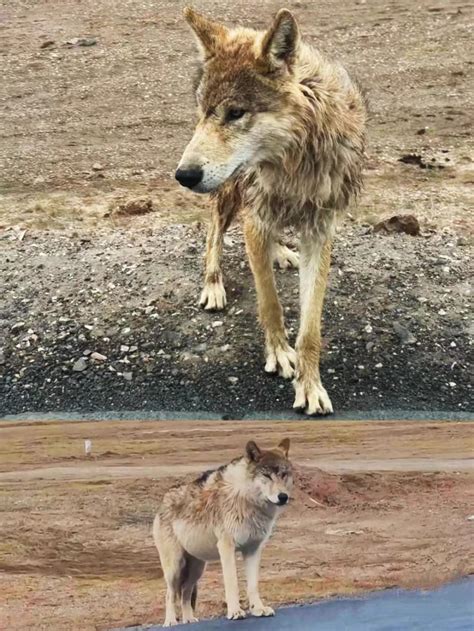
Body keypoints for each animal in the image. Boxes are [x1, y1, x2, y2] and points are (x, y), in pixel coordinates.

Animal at [154, 440, 290, 628]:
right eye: (267, 476)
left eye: (284, 475)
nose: (283, 496)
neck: (247, 499)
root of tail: (162, 501)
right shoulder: (227, 547)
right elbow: (232, 583)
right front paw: (235, 612)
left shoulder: (253, 549)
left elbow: (253, 585)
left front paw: (258, 609)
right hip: (175, 567)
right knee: (170, 594)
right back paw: (171, 622)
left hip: (197, 569)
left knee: (185, 593)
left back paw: (189, 620)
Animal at [175, 9, 366, 418]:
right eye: (205, 113)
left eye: (236, 113)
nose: (183, 176)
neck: (292, 164)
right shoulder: (256, 218)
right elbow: (270, 302)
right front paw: (279, 354)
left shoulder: (319, 232)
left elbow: (311, 328)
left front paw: (310, 386)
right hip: (228, 194)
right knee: (213, 235)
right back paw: (213, 284)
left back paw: (279, 251)